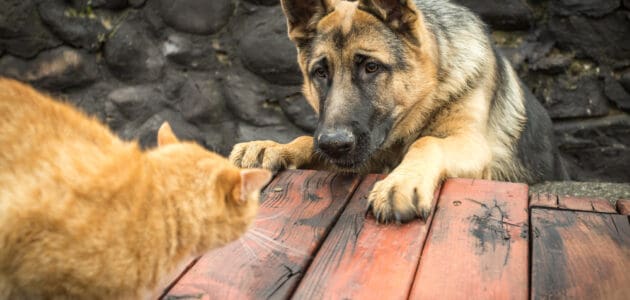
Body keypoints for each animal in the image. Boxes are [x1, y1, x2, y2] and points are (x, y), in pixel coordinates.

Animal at [230, 0, 564, 223]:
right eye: (320, 73)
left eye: (371, 67)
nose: (334, 145)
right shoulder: (365, 153)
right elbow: (306, 142)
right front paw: (270, 147)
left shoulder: (472, 144)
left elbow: (427, 142)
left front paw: (401, 182)